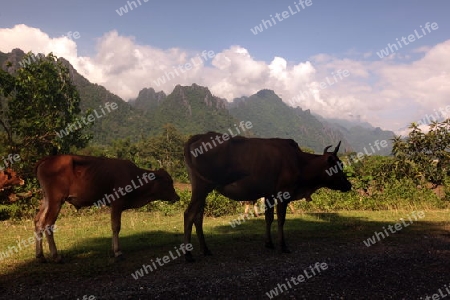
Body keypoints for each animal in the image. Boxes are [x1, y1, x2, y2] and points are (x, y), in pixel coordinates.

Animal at [34, 156, 179, 262]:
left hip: (47, 200)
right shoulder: (117, 204)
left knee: (38, 222)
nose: (177, 197)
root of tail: (47, 159)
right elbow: (116, 226)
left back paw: (40, 256)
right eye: (168, 181)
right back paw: (55, 256)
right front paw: (118, 252)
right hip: (56, 201)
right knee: (47, 224)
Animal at [183, 132, 352, 262]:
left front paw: (269, 243)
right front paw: (283, 246)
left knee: (198, 217)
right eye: (339, 165)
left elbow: (269, 218)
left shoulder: (269, 193)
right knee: (189, 214)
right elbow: (281, 220)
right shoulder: (284, 193)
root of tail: (200, 136)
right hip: (202, 187)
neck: (299, 161)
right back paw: (188, 255)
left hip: (202, 190)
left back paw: (205, 250)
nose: (348, 185)